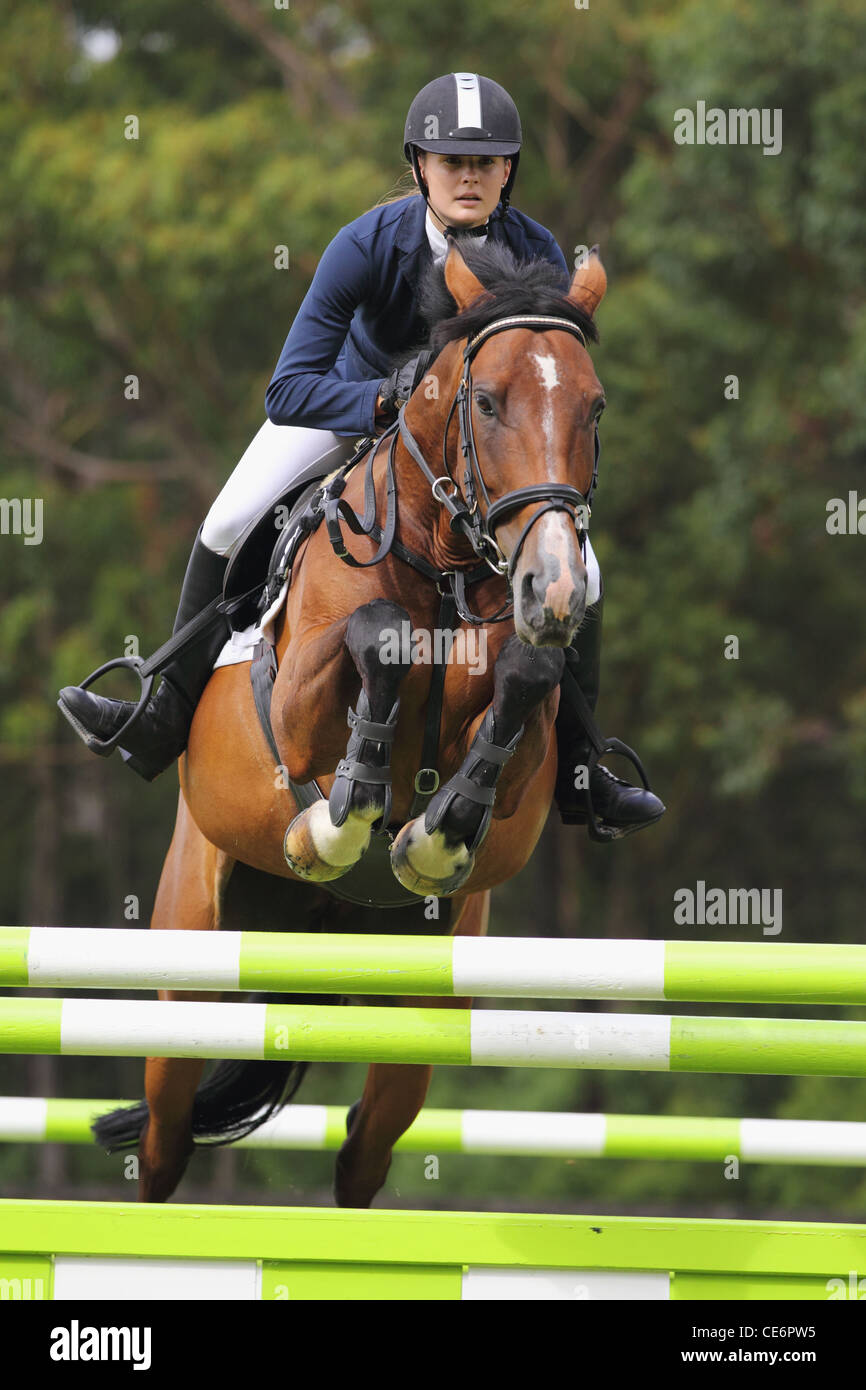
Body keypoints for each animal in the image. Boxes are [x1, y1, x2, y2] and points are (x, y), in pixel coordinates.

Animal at [93, 236, 608, 1206]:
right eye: (488, 402)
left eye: (595, 407)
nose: (554, 588)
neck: (443, 563)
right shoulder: (296, 711)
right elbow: (375, 637)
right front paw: (339, 821)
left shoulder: (527, 747)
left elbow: (524, 681)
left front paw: (431, 838)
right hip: (190, 963)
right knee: (166, 1141)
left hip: (421, 1008)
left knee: (364, 1149)